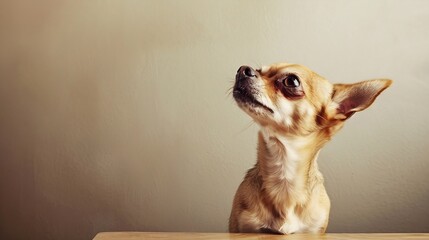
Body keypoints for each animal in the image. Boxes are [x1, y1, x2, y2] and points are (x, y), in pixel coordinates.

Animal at [229, 62, 390, 234]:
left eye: (291, 81)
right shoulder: (242, 227)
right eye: (260, 70)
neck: (284, 174)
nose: (243, 70)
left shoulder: (313, 230)